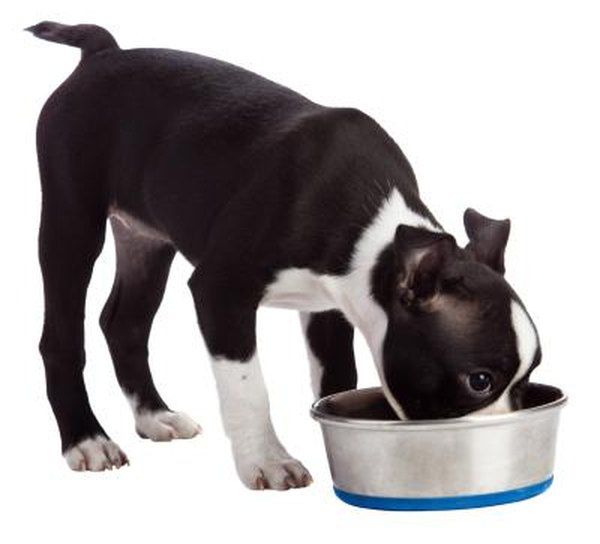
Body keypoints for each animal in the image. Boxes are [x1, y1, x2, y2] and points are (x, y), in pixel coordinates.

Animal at [29, 22, 540, 488]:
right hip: (72, 220)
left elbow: (337, 377)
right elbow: (248, 389)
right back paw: (87, 440)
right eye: (479, 381)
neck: (372, 226)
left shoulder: (330, 307)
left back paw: (155, 416)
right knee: (62, 337)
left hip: (146, 240)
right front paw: (268, 460)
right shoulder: (221, 292)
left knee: (126, 323)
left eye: (528, 377)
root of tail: (102, 51)